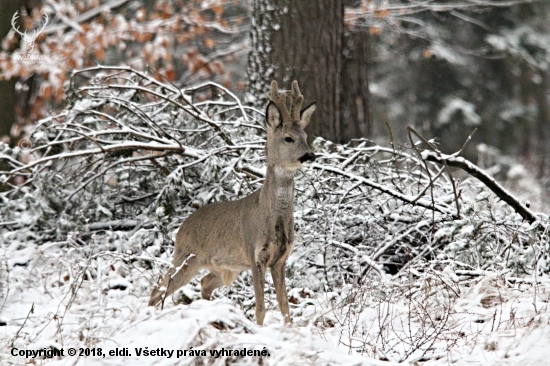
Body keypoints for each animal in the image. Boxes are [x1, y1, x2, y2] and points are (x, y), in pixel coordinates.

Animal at [149, 81, 316, 326]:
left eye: (305, 135)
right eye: (288, 138)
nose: (310, 155)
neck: (270, 215)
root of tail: (181, 228)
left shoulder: (280, 259)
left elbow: (285, 307)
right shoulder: (254, 252)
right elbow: (261, 308)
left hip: (224, 266)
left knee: (204, 283)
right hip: (186, 256)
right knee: (159, 288)